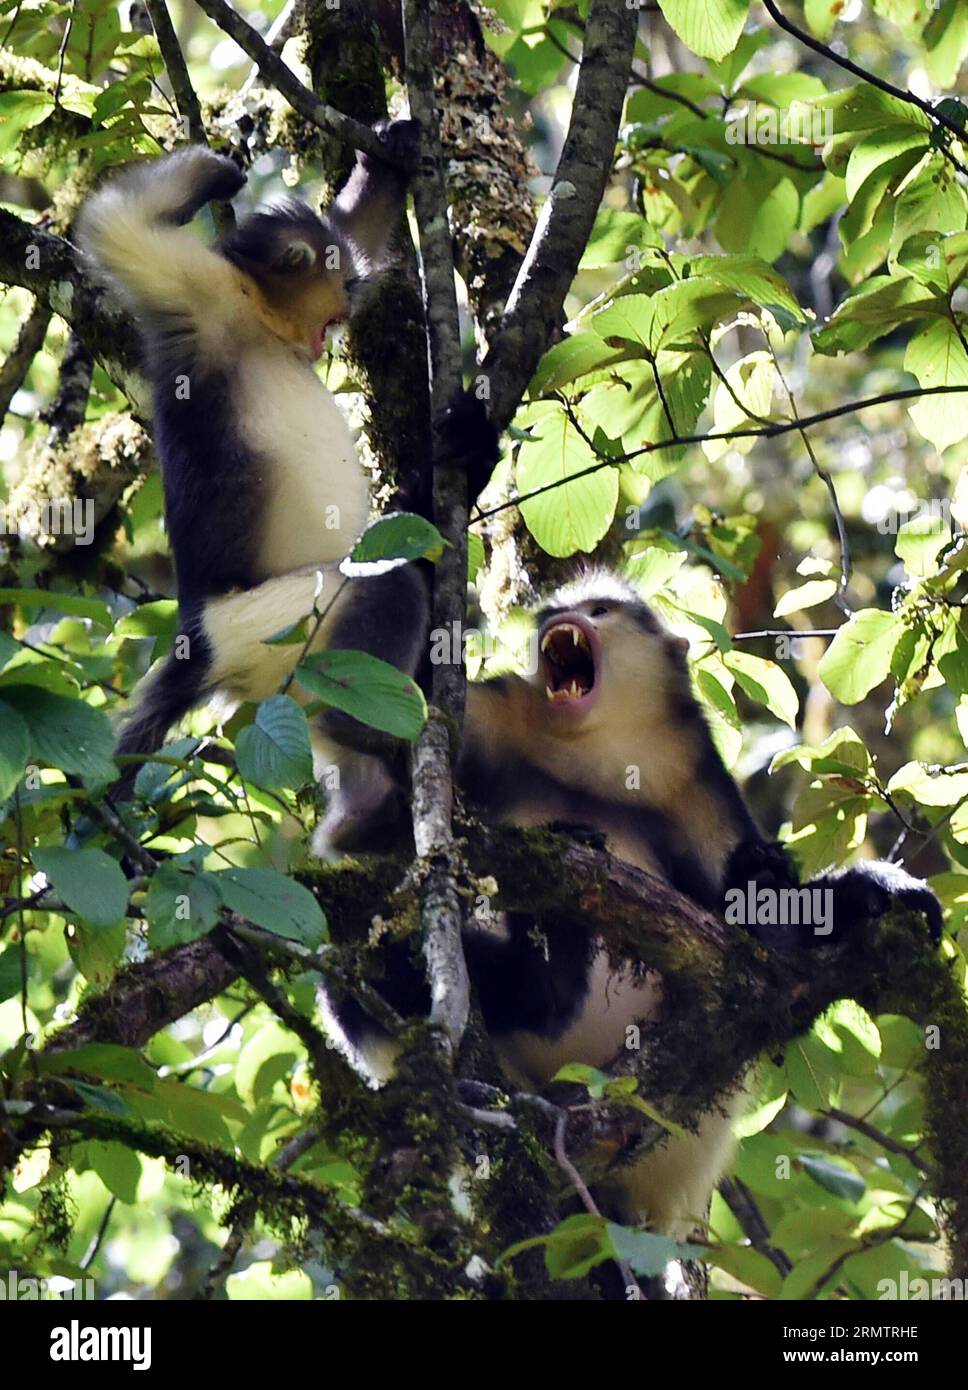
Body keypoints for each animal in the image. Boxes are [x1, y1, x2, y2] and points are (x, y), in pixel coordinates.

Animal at [76, 125, 433, 800]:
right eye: (341, 287)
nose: (348, 307)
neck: (262, 321)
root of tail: (197, 642)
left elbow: (353, 225)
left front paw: (388, 151)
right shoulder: (197, 290)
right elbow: (114, 223)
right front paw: (222, 172)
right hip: (274, 624)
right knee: (389, 584)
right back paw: (368, 747)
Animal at [315, 569, 940, 1245]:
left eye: (599, 611)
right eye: (555, 614)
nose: (552, 622)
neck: (598, 751)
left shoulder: (694, 769)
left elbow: (757, 934)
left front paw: (863, 890)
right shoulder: (493, 716)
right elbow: (361, 798)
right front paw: (416, 550)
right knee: (359, 964)